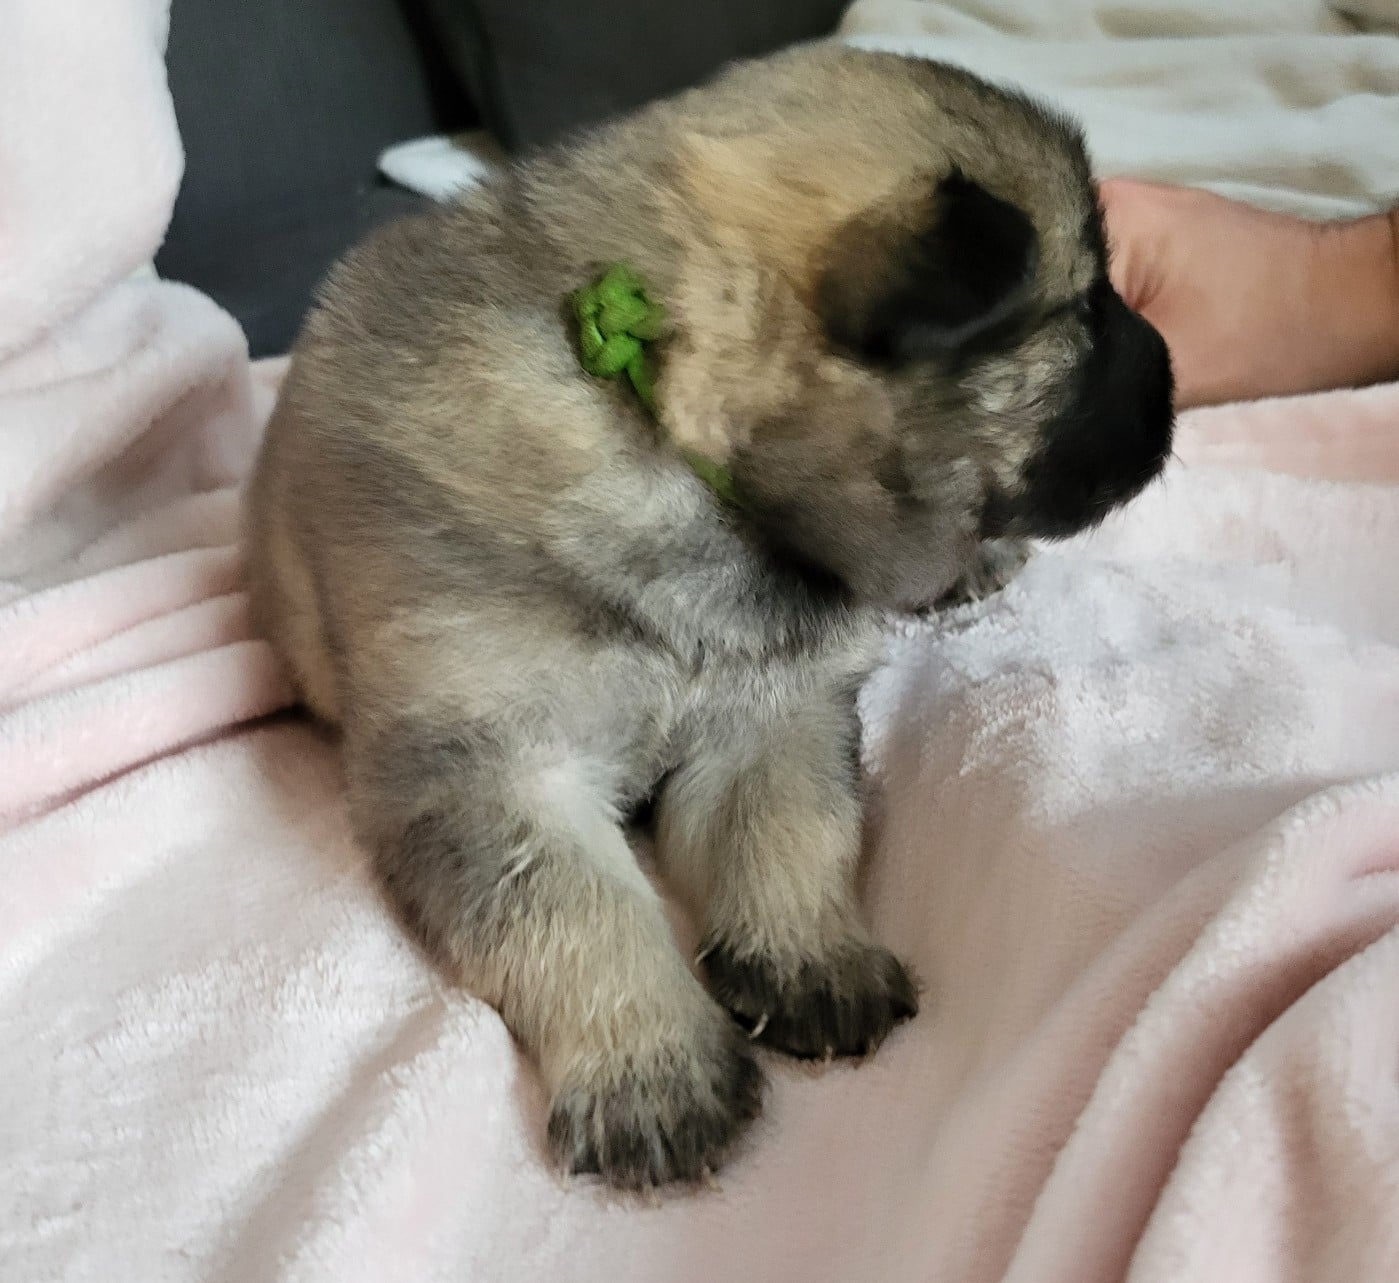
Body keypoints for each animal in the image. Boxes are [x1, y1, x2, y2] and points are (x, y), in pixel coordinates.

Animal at [245, 43, 1173, 1189]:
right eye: (1085, 307)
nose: (1174, 376)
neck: (664, 434)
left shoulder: (772, 716)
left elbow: (792, 826)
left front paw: (808, 954)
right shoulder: (485, 772)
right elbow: (575, 907)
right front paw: (650, 1065)